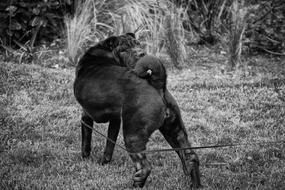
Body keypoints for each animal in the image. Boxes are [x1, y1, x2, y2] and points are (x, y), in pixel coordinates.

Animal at [73, 33, 200, 188]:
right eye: (124, 49)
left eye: (137, 44)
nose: (141, 53)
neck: (105, 53)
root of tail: (158, 85)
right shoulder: (115, 120)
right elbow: (109, 144)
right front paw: (104, 162)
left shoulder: (86, 115)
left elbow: (86, 140)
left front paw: (85, 158)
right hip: (174, 130)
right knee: (190, 156)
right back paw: (196, 185)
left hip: (133, 135)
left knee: (144, 167)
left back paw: (136, 184)